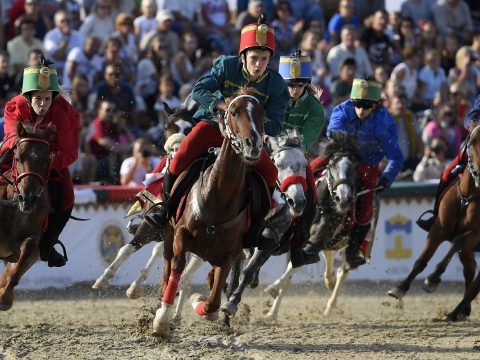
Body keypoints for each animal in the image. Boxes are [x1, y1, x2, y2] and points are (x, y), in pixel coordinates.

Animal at [0, 122, 54, 310]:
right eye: (18, 157)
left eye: (47, 160)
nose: (28, 198)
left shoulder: (32, 242)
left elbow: (20, 261)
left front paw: (5, 297)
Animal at [153, 87, 266, 334]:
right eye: (234, 111)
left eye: (262, 113)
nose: (252, 144)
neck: (218, 196)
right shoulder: (181, 235)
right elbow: (177, 267)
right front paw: (162, 320)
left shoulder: (229, 254)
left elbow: (213, 300)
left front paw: (202, 303)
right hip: (168, 233)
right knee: (167, 265)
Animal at [388, 124, 480, 320]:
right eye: (472, 143)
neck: (469, 196)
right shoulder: (439, 229)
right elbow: (421, 260)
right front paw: (400, 287)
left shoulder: (475, 235)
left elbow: (457, 241)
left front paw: (433, 279)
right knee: (470, 272)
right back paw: (460, 311)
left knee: (474, 285)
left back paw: (454, 312)